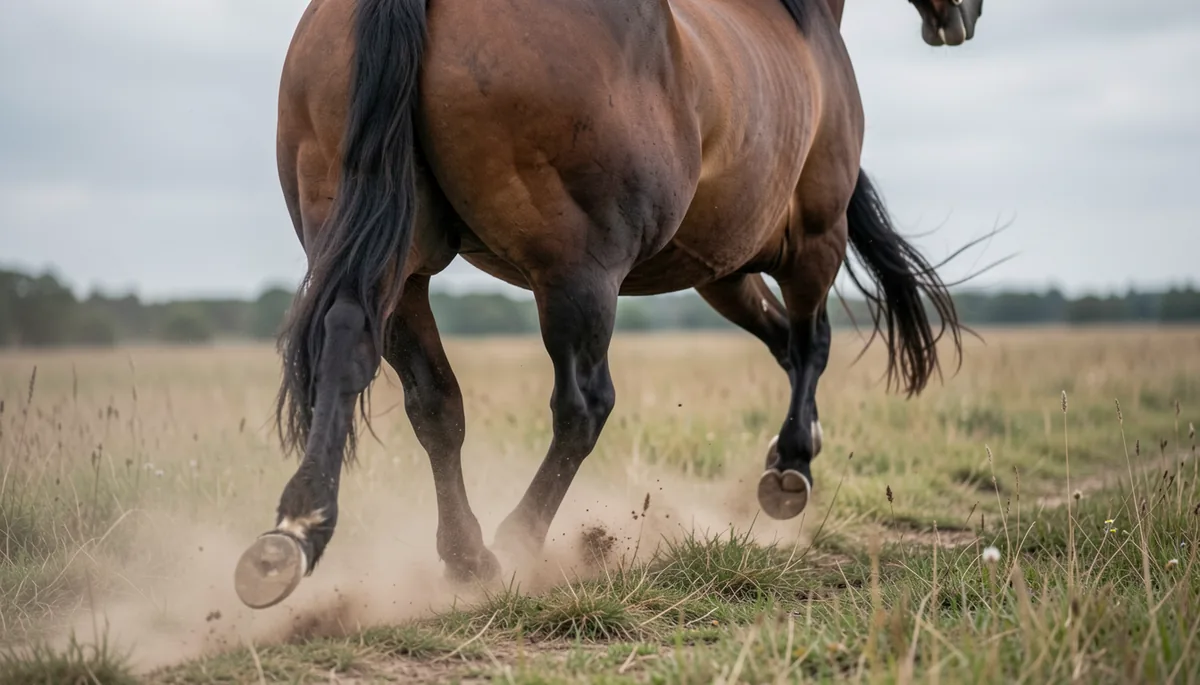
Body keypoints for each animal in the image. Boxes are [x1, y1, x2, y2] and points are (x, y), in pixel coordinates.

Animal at [232, 0, 984, 609]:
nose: (962, 16)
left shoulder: (719, 268)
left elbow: (781, 340)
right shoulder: (813, 242)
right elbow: (810, 343)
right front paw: (792, 464)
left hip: (398, 267)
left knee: (408, 386)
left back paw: (333, 539)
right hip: (579, 274)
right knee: (582, 406)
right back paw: (517, 541)